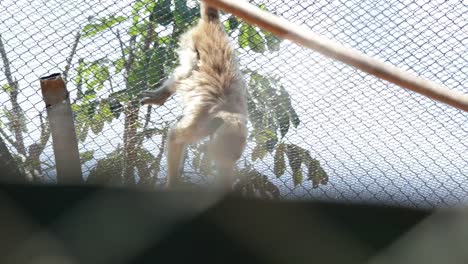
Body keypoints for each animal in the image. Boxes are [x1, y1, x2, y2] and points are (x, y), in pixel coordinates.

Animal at [140, 0, 247, 190]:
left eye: (233, 158)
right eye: (222, 152)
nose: (224, 162)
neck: (228, 113)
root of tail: (212, 27)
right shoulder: (200, 123)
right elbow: (175, 137)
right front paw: (173, 184)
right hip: (192, 42)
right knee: (187, 69)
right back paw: (163, 94)